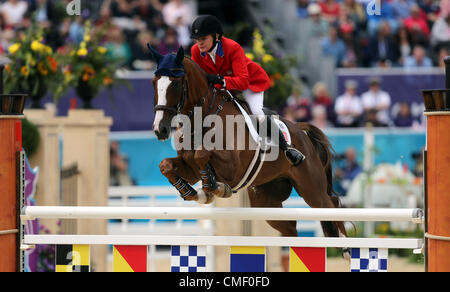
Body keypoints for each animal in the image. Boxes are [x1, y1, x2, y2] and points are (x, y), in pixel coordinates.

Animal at [149, 45, 348, 249]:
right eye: (154, 83)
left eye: (175, 83)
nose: (160, 129)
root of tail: (300, 130)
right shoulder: (191, 168)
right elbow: (166, 165)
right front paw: (193, 192)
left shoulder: (232, 168)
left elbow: (202, 154)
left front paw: (214, 188)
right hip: (267, 200)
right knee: (291, 228)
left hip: (311, 188)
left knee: (331, 204)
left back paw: (345, 247)